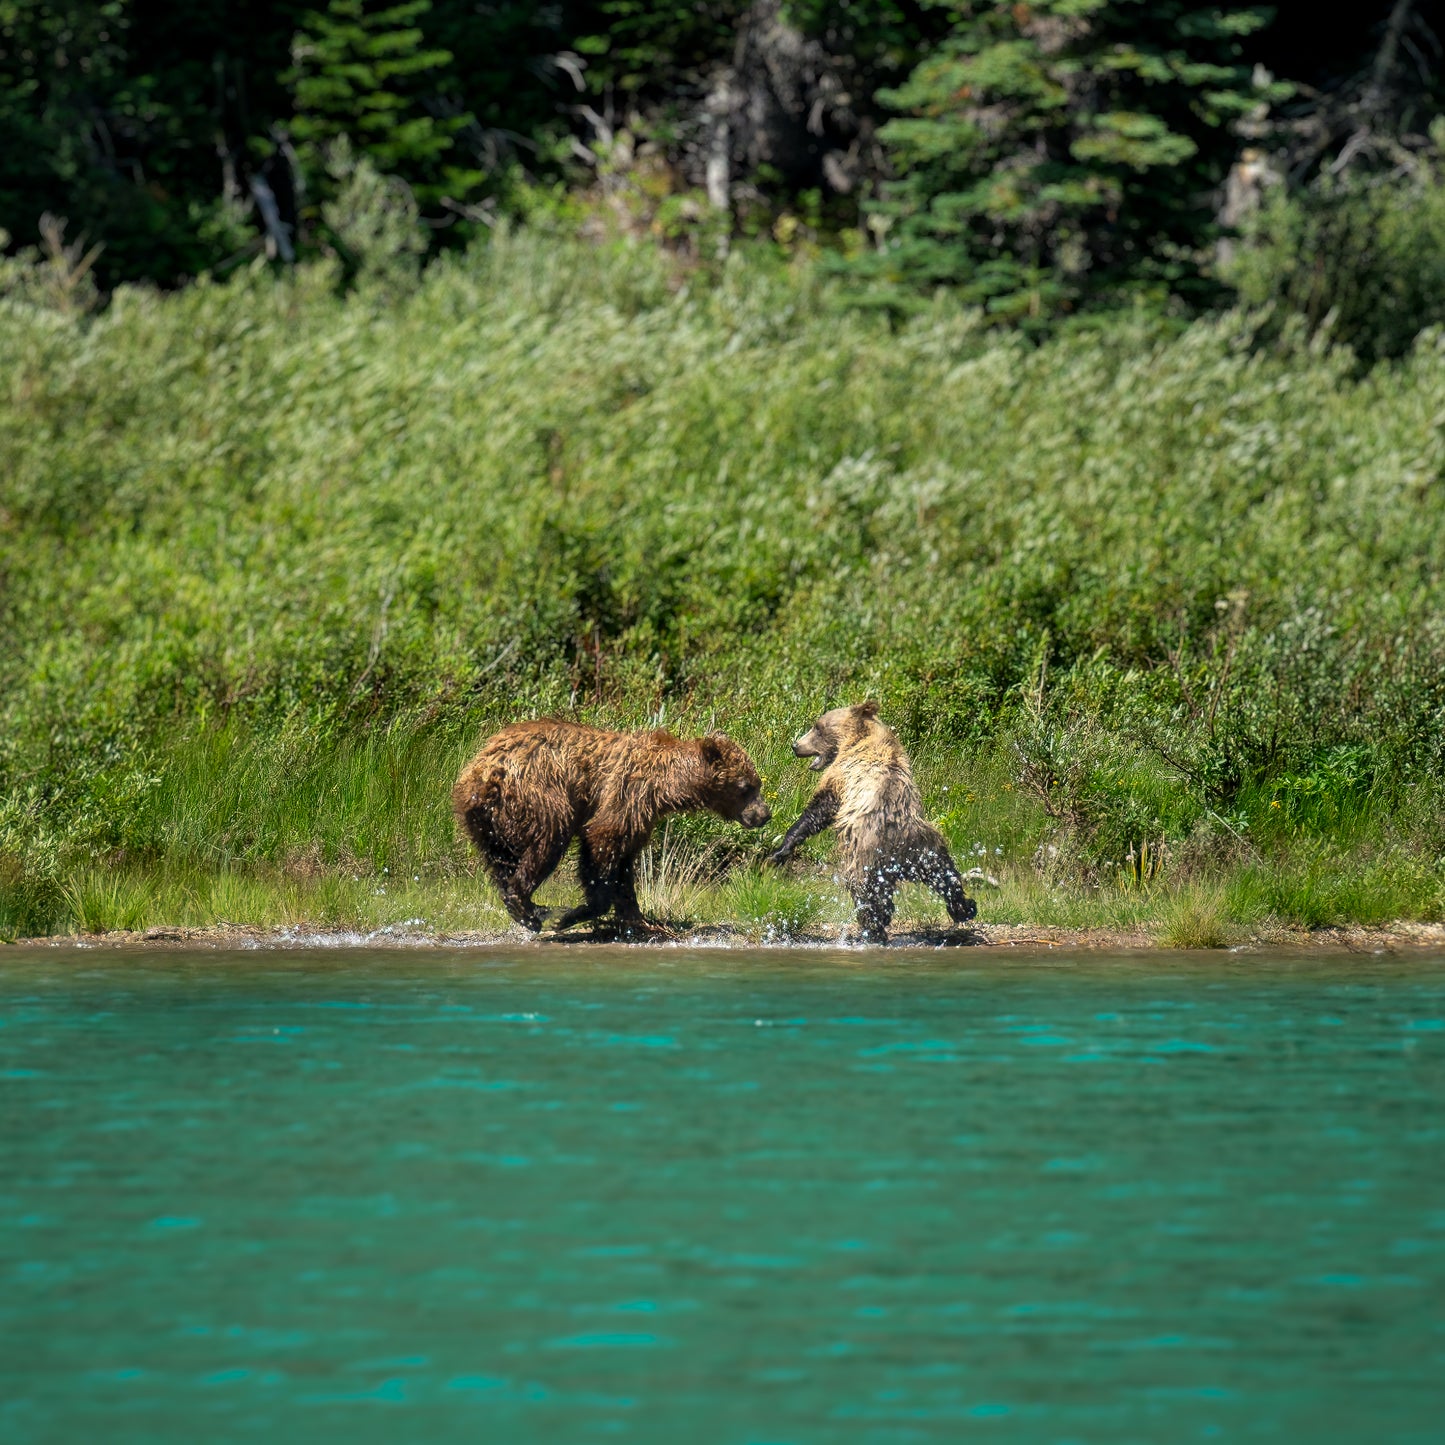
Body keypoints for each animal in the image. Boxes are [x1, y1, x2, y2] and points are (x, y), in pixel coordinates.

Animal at [454, 719, 771, 934]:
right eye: (746, 786)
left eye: (757, 783)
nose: (764, 815)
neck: (668, 786)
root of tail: (484, 771)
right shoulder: (627, 793)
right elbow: (603, 843)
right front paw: (575, 914)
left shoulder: (640, 815)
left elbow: (624, 864)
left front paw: (638, 918)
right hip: (539, 793)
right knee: (548, 840)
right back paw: (534, 909)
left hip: (484, 819)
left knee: (500, 858)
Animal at [766, 701, 976, 943]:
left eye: (817, 727)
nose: (796, 745)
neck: (857, 738)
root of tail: (896, 845)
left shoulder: (842, 774)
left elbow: (820, 808)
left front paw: (781, 849)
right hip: (925, 847)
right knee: (944, 872)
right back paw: (964, 907)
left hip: (864, 856)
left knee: (863, 889)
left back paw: (873, 927)